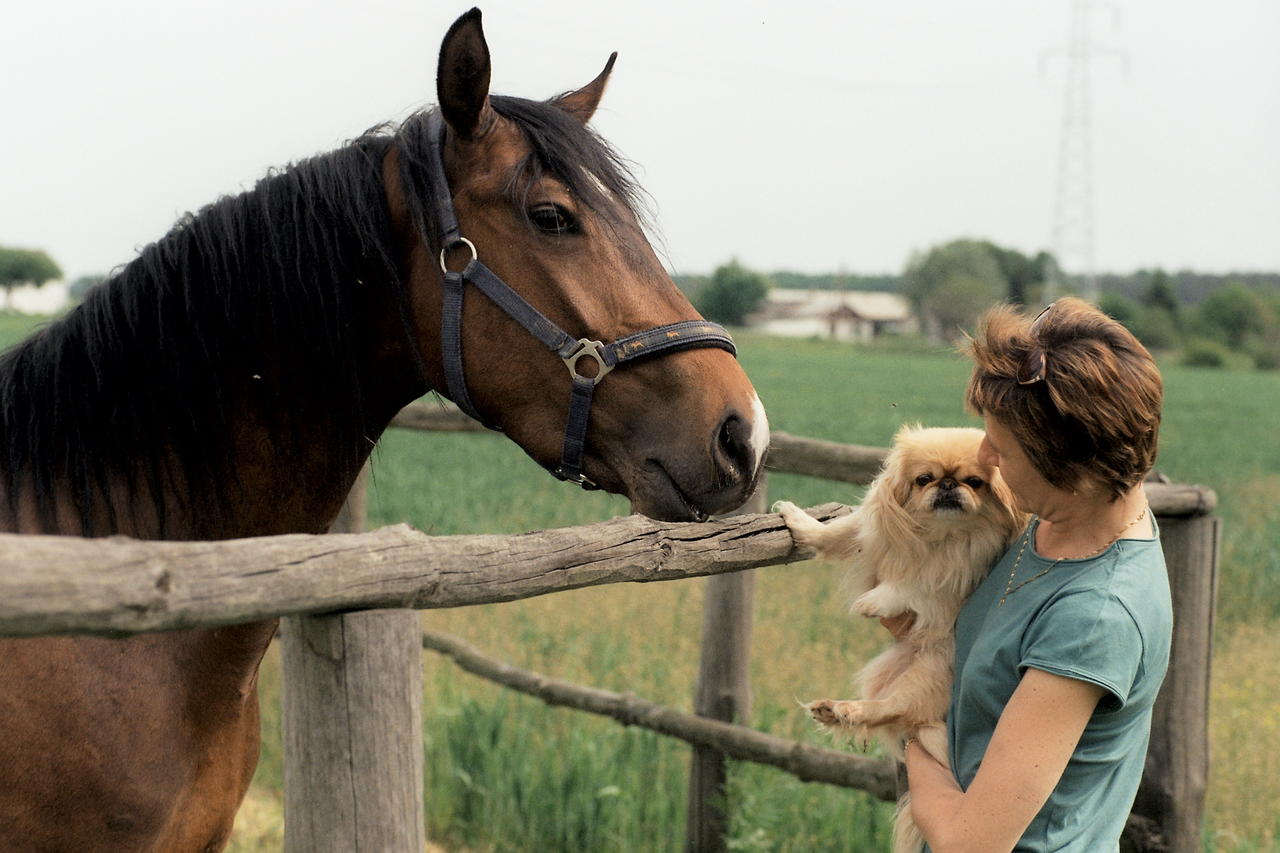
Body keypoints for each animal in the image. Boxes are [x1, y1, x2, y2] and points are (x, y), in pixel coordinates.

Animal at [773, 425, 1024, 850]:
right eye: (924, 479)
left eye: (975, 482)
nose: (948, 484)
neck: (939, 536)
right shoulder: (868, 532)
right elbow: (835, 535)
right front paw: (796, 519)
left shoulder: (953, 580)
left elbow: (915, 585)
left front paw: (875, 599)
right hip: (886, 669)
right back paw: (834, 710)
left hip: (925, 676)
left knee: (894, 708)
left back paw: (848, 710)